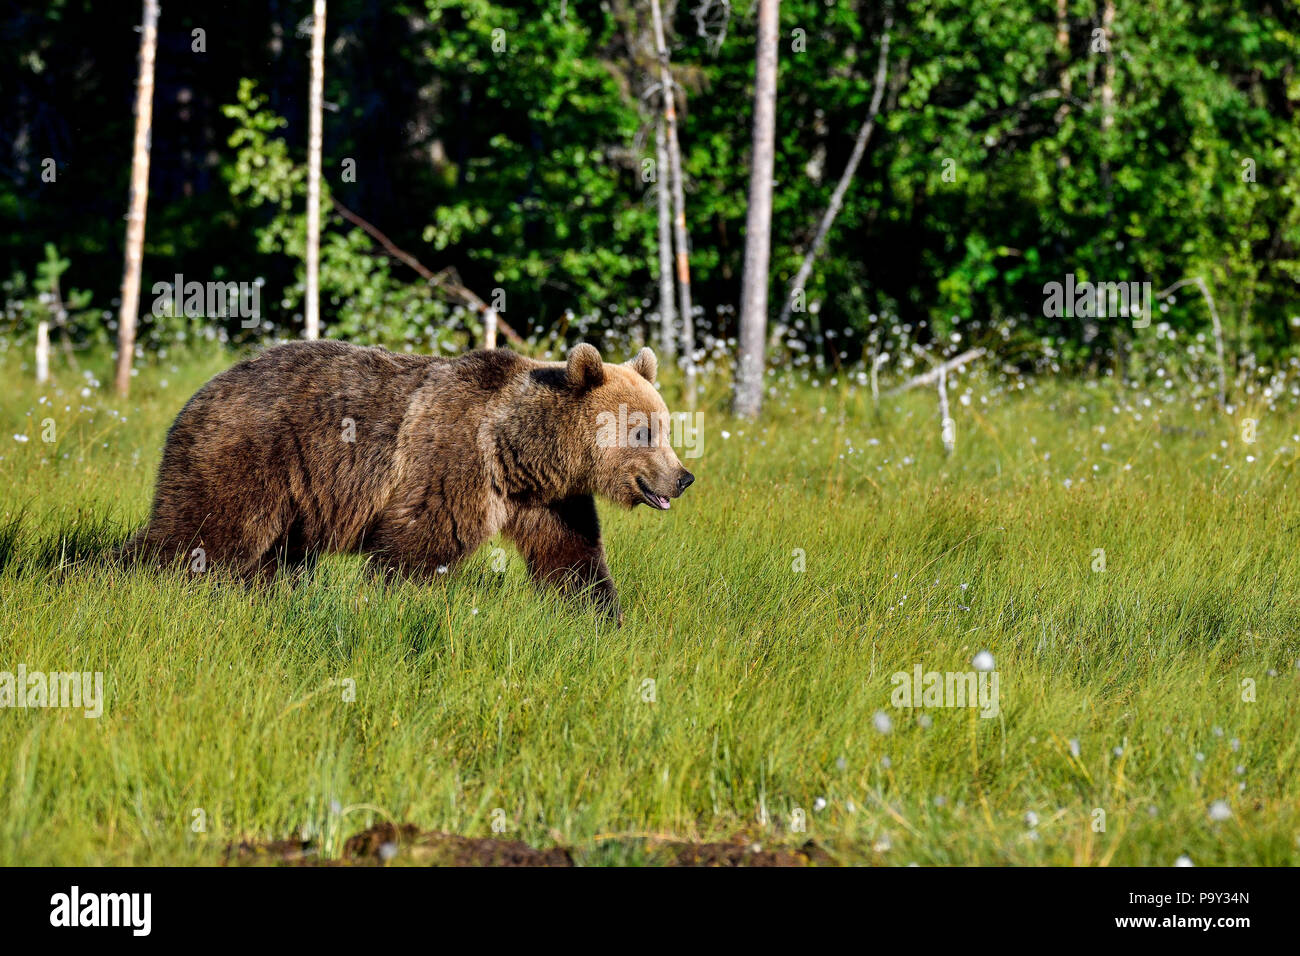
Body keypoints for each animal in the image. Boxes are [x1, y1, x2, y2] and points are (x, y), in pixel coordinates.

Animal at [128, 343, 696, 621]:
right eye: (643, 431)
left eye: (665, 425)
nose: (683, 476)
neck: (519, 451)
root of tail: (201, 392)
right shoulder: (454, 463)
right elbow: (415, 546)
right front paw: (384, 601)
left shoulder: (551, 499)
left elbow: (572, 558)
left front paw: (603, 620)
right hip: (250, 456)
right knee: (200, 536)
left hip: (294, 496)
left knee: (272, 556)